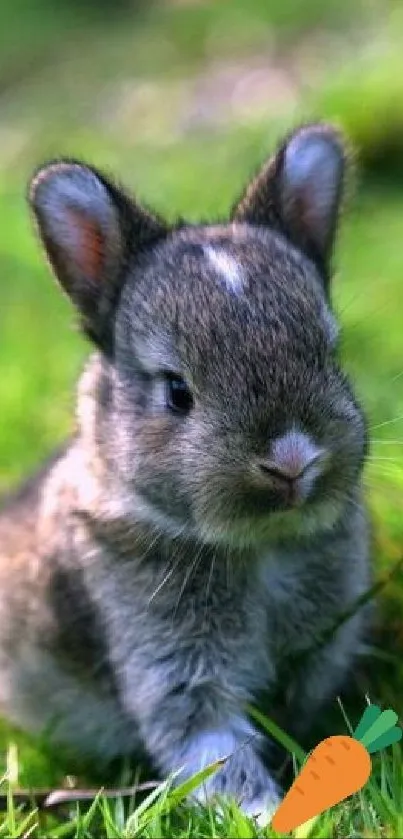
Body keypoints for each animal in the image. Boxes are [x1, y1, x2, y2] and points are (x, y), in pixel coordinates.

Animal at [0, 123, 372, 820]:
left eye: (329, 355)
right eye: (177, 392)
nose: (291, 460)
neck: (260, 548)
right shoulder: (175, 669)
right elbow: (211, 745)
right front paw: (269, 817)